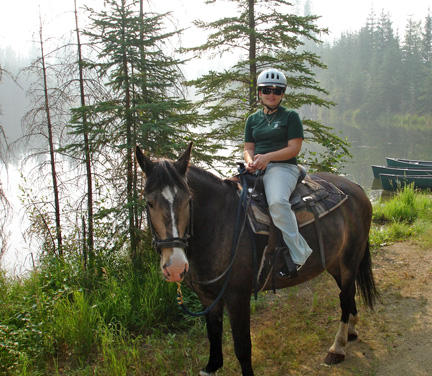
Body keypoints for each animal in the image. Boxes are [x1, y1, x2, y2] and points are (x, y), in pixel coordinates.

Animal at [136, 143, 378, 376]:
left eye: (188, 200)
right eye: (149, 202)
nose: (175, 267)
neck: (220, 223)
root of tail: (354, 187)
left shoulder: (237, 297)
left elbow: (243, 347)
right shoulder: (208, 298)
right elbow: (213, 336)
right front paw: (212, 366)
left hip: (350, 261)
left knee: (345, 297)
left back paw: (337, 348)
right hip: (336, 263)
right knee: (348, 294)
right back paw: (351, 332)